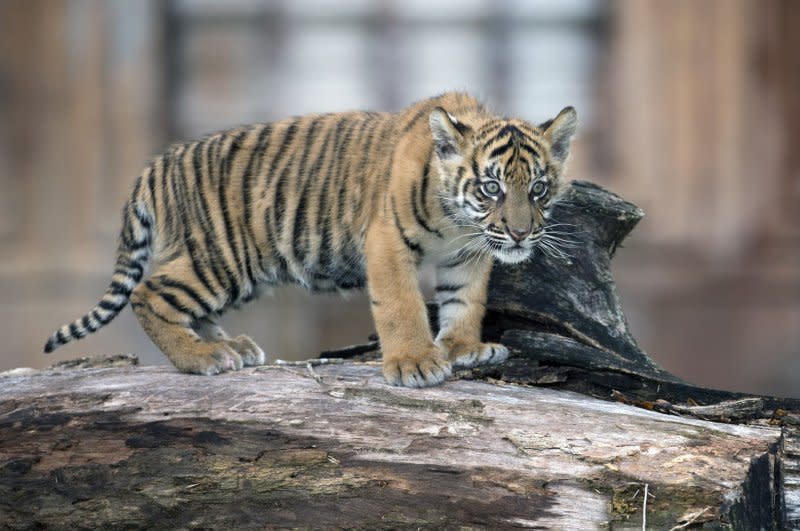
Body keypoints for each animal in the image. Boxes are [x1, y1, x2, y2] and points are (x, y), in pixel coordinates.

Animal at [43, 92, 580, 386]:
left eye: (538, 188)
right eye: (491, 187)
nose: (520, 232)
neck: (459, 222)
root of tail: (157, 164)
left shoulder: (467, 254)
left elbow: (465, 300)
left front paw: (466, 347)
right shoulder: (387, 240)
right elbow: (401, 304)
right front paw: (414, 363)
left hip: (233, 269)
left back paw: (231, 347)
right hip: (221, 258)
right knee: (147, 293)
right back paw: (202, 358)